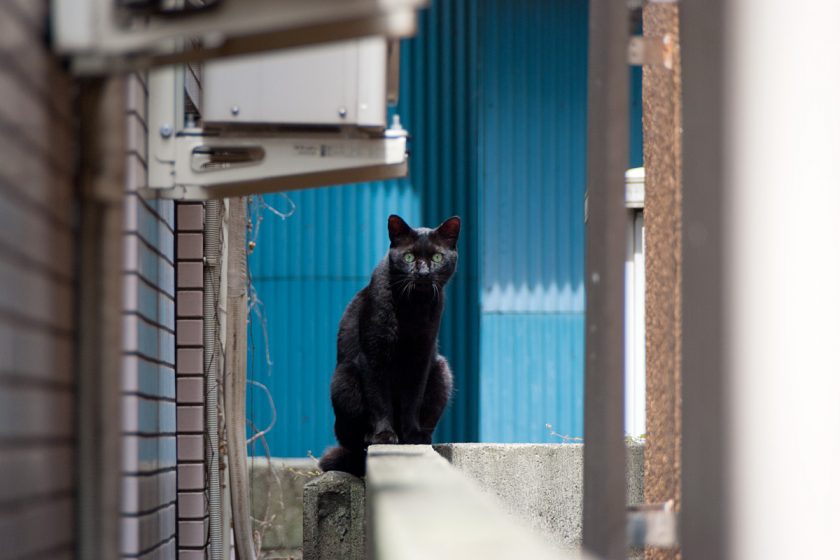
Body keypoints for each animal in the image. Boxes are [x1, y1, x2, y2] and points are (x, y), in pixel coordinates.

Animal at [318, 214, 460, 476]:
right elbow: (379, 398)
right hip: (344, 380)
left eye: (437, 257)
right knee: (353, 442)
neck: (414, 307)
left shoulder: (421, 358)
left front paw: (411, 435)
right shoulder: (374, 355)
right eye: (408, 257)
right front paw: (385, 435)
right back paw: (367, 437)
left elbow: (412, 400)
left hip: (442, 371)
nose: (423, 272)